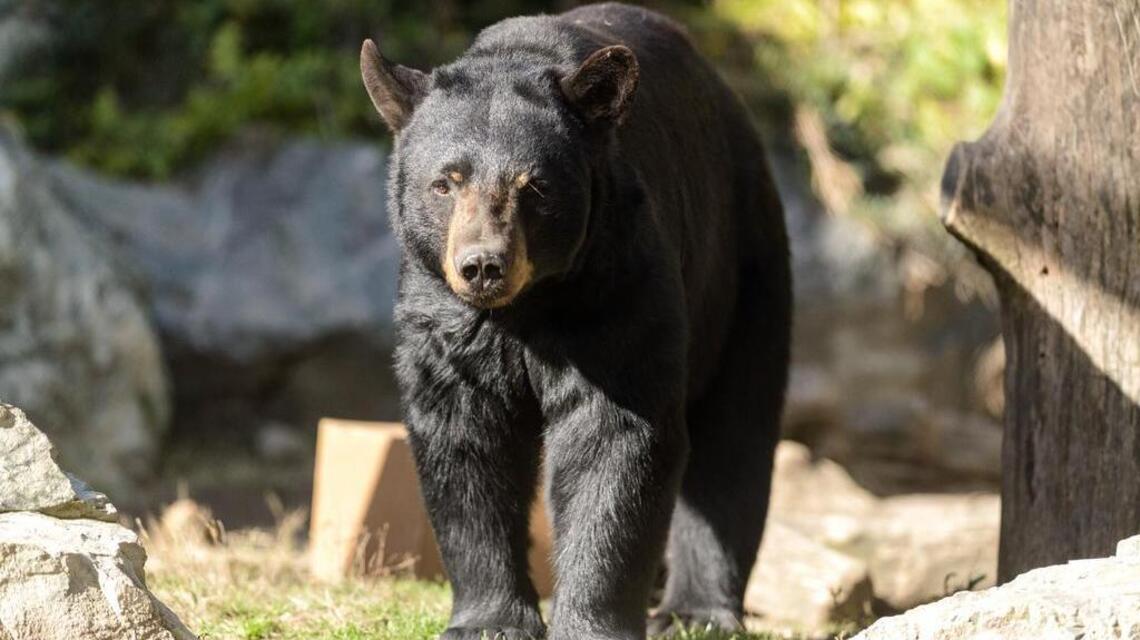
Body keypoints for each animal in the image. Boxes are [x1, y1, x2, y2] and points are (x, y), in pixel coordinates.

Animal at [360, 3, 791, 639]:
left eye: (533, 186)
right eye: (445, 182)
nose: (483, 266)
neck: (527, 308)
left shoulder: (614, 284)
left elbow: (613, 436)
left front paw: (591, 621)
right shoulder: (443, 314)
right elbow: (464, 436)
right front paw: (489, 620)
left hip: (743, 262)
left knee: (736, 426)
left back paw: (697, 611)